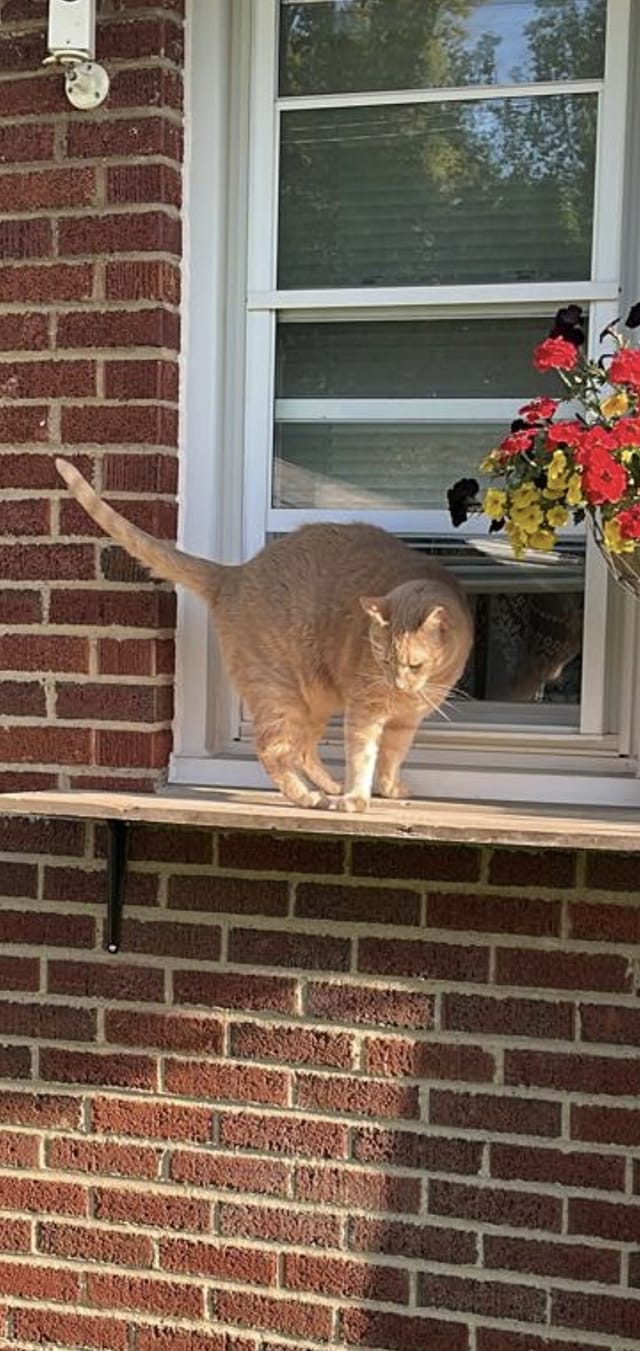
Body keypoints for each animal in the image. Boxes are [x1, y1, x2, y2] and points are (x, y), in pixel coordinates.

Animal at [56, 457, 473, 812]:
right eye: (383, 658)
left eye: (414, 664)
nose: (396, 683)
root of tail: (235, 573)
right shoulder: (365, 712)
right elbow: (363, 755)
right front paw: (357, 798)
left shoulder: (405, 722)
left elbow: (391, 756)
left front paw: (386, 787)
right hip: (280, 693)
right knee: (273, 749)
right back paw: (309, 797)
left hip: (313, 701)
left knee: (302, 749)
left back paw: (327, 787)